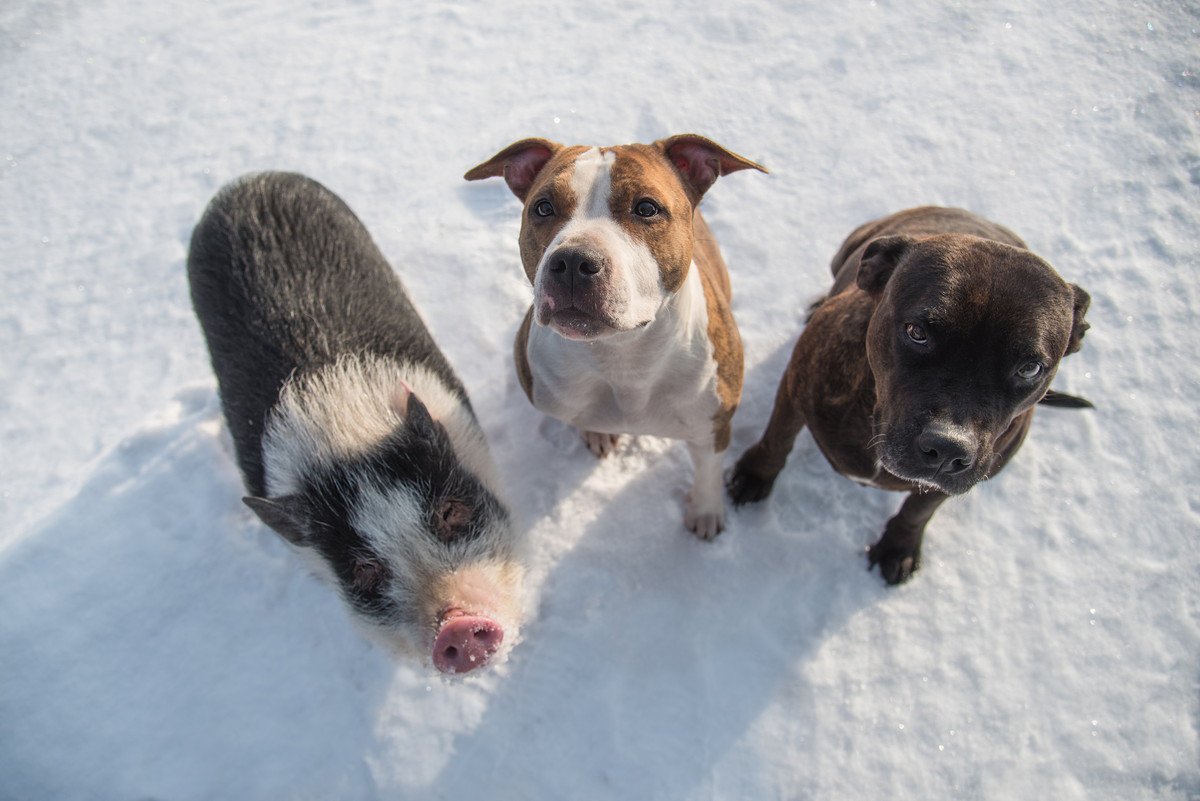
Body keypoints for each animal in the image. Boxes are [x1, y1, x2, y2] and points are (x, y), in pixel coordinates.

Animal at [463, 136, 763, 537]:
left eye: (647, 208)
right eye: (543, 207)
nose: (573, 262)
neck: (622, 356)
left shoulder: (713, 425)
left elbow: (709, 471)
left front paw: (705, 511)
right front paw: (596, 432)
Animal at [724, 206, 1094, 582]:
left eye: (1030, 368)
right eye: (917, 332)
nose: (947, 448)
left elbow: (919, 509)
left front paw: (898, 547)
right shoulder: (796, 386)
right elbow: (778, 438)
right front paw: (755, 475)